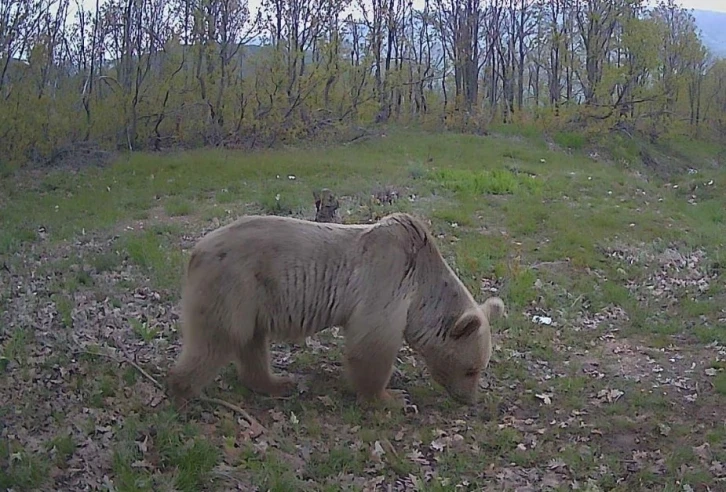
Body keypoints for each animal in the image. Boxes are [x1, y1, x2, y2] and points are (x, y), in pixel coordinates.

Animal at [166, 211, 506, 408]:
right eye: (471, 369)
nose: (469, 399)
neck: (422, 288)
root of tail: (196, 250)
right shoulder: (387, 279)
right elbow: (372, 344)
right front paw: (390, 398)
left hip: (254, 297)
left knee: (251, 342)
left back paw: (276, 383)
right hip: (234, 284)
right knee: (218, 338)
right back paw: (185, 390)